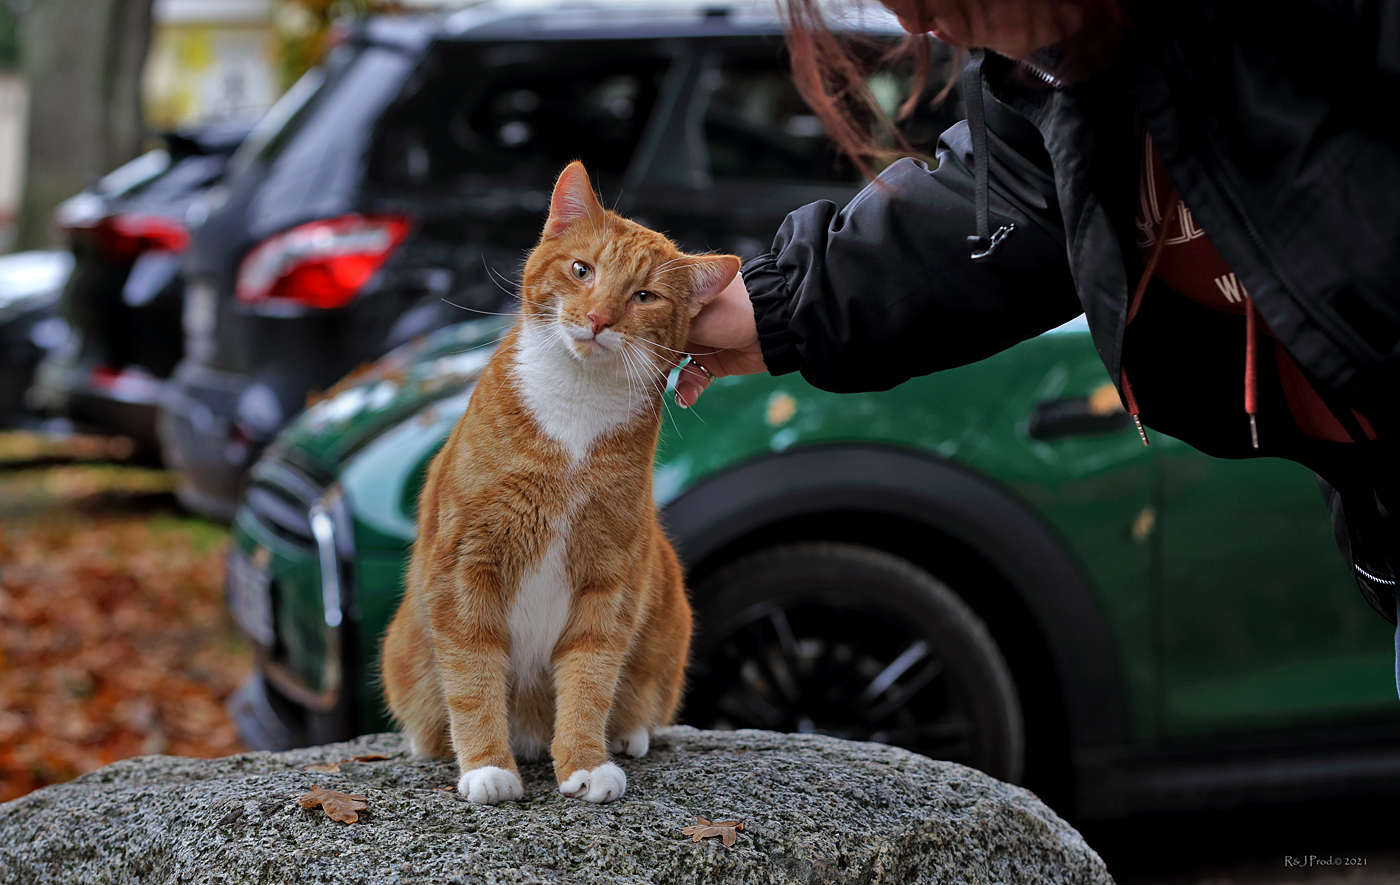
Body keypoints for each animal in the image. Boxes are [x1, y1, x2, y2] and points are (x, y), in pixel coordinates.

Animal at [378, 162, 739, 806]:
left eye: (643, 296)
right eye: (581, 270)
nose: (597, 319)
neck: (576, 410)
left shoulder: (609, 579)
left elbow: (589, 680)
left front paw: (585, 763)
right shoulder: (467, 566)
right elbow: (472, 676)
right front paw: (486, 767)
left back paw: (628, 734)